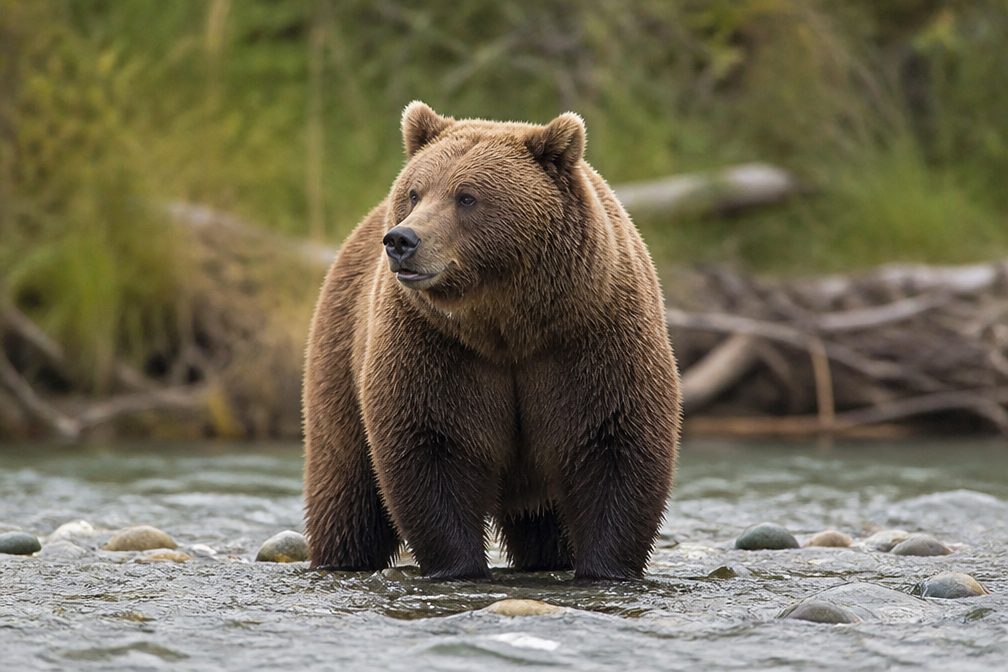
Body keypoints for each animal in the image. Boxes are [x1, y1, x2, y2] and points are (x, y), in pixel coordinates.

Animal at [303, 101, 681, 581]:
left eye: (466, 196)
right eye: (415, 192)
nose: (402, 239)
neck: (508, 326)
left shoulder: (592, 338)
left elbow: (615, 446)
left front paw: (606, 568)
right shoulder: (435, 347)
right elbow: (432, 448)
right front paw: (458, 566)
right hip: (340, 358)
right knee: (348, 491)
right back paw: (342, 558)